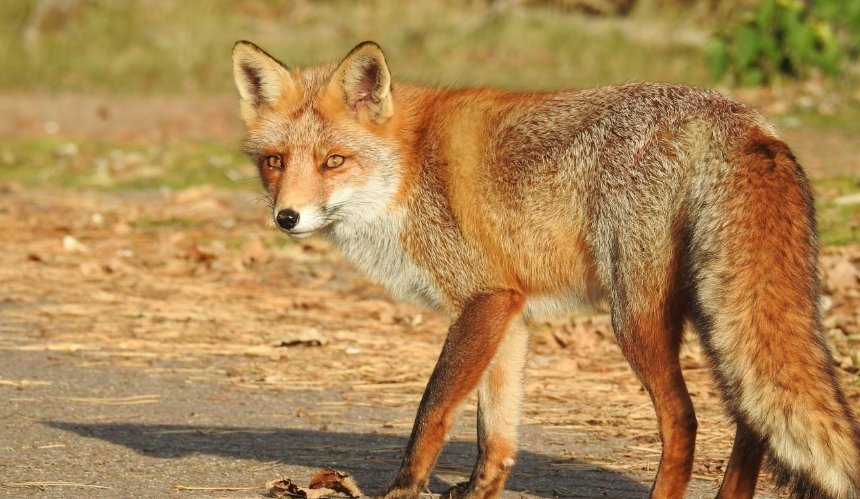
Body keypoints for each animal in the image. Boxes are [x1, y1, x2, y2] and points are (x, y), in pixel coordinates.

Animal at [232, 40, 860, 499]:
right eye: (275, 163)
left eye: (333, 161)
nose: (287, 217)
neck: (409, 169)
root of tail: (738, 117)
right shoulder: (509, 311)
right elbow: (495, 433)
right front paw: (478, 492)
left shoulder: (483, 299)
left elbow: (433, 410)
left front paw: (404, 489)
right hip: (717, 314)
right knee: (753, 421)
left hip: (636, 318)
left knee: (685, 420)